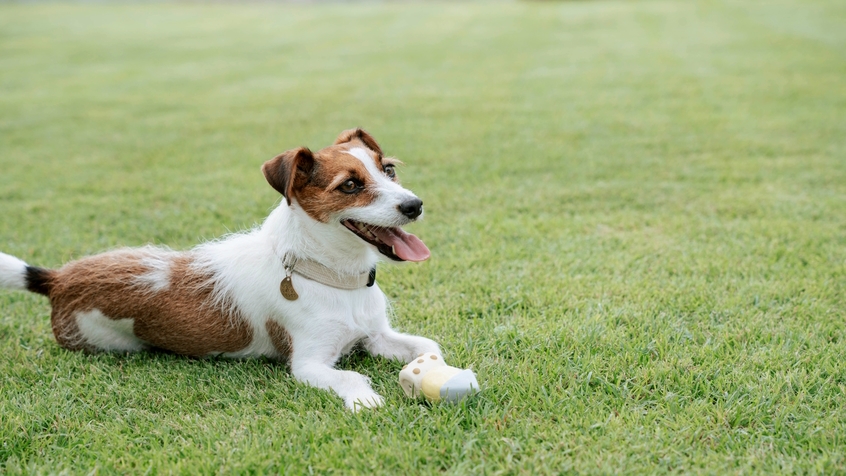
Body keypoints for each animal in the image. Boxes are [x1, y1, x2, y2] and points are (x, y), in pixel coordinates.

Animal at [0, 128, 440, 410]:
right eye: (349, 185)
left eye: (389, 170)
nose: (415, 205)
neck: (331, 277)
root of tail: (59, 279)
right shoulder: (309, 364)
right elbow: (349, 377)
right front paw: (365, 397)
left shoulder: (376, 336)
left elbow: (427, 347)